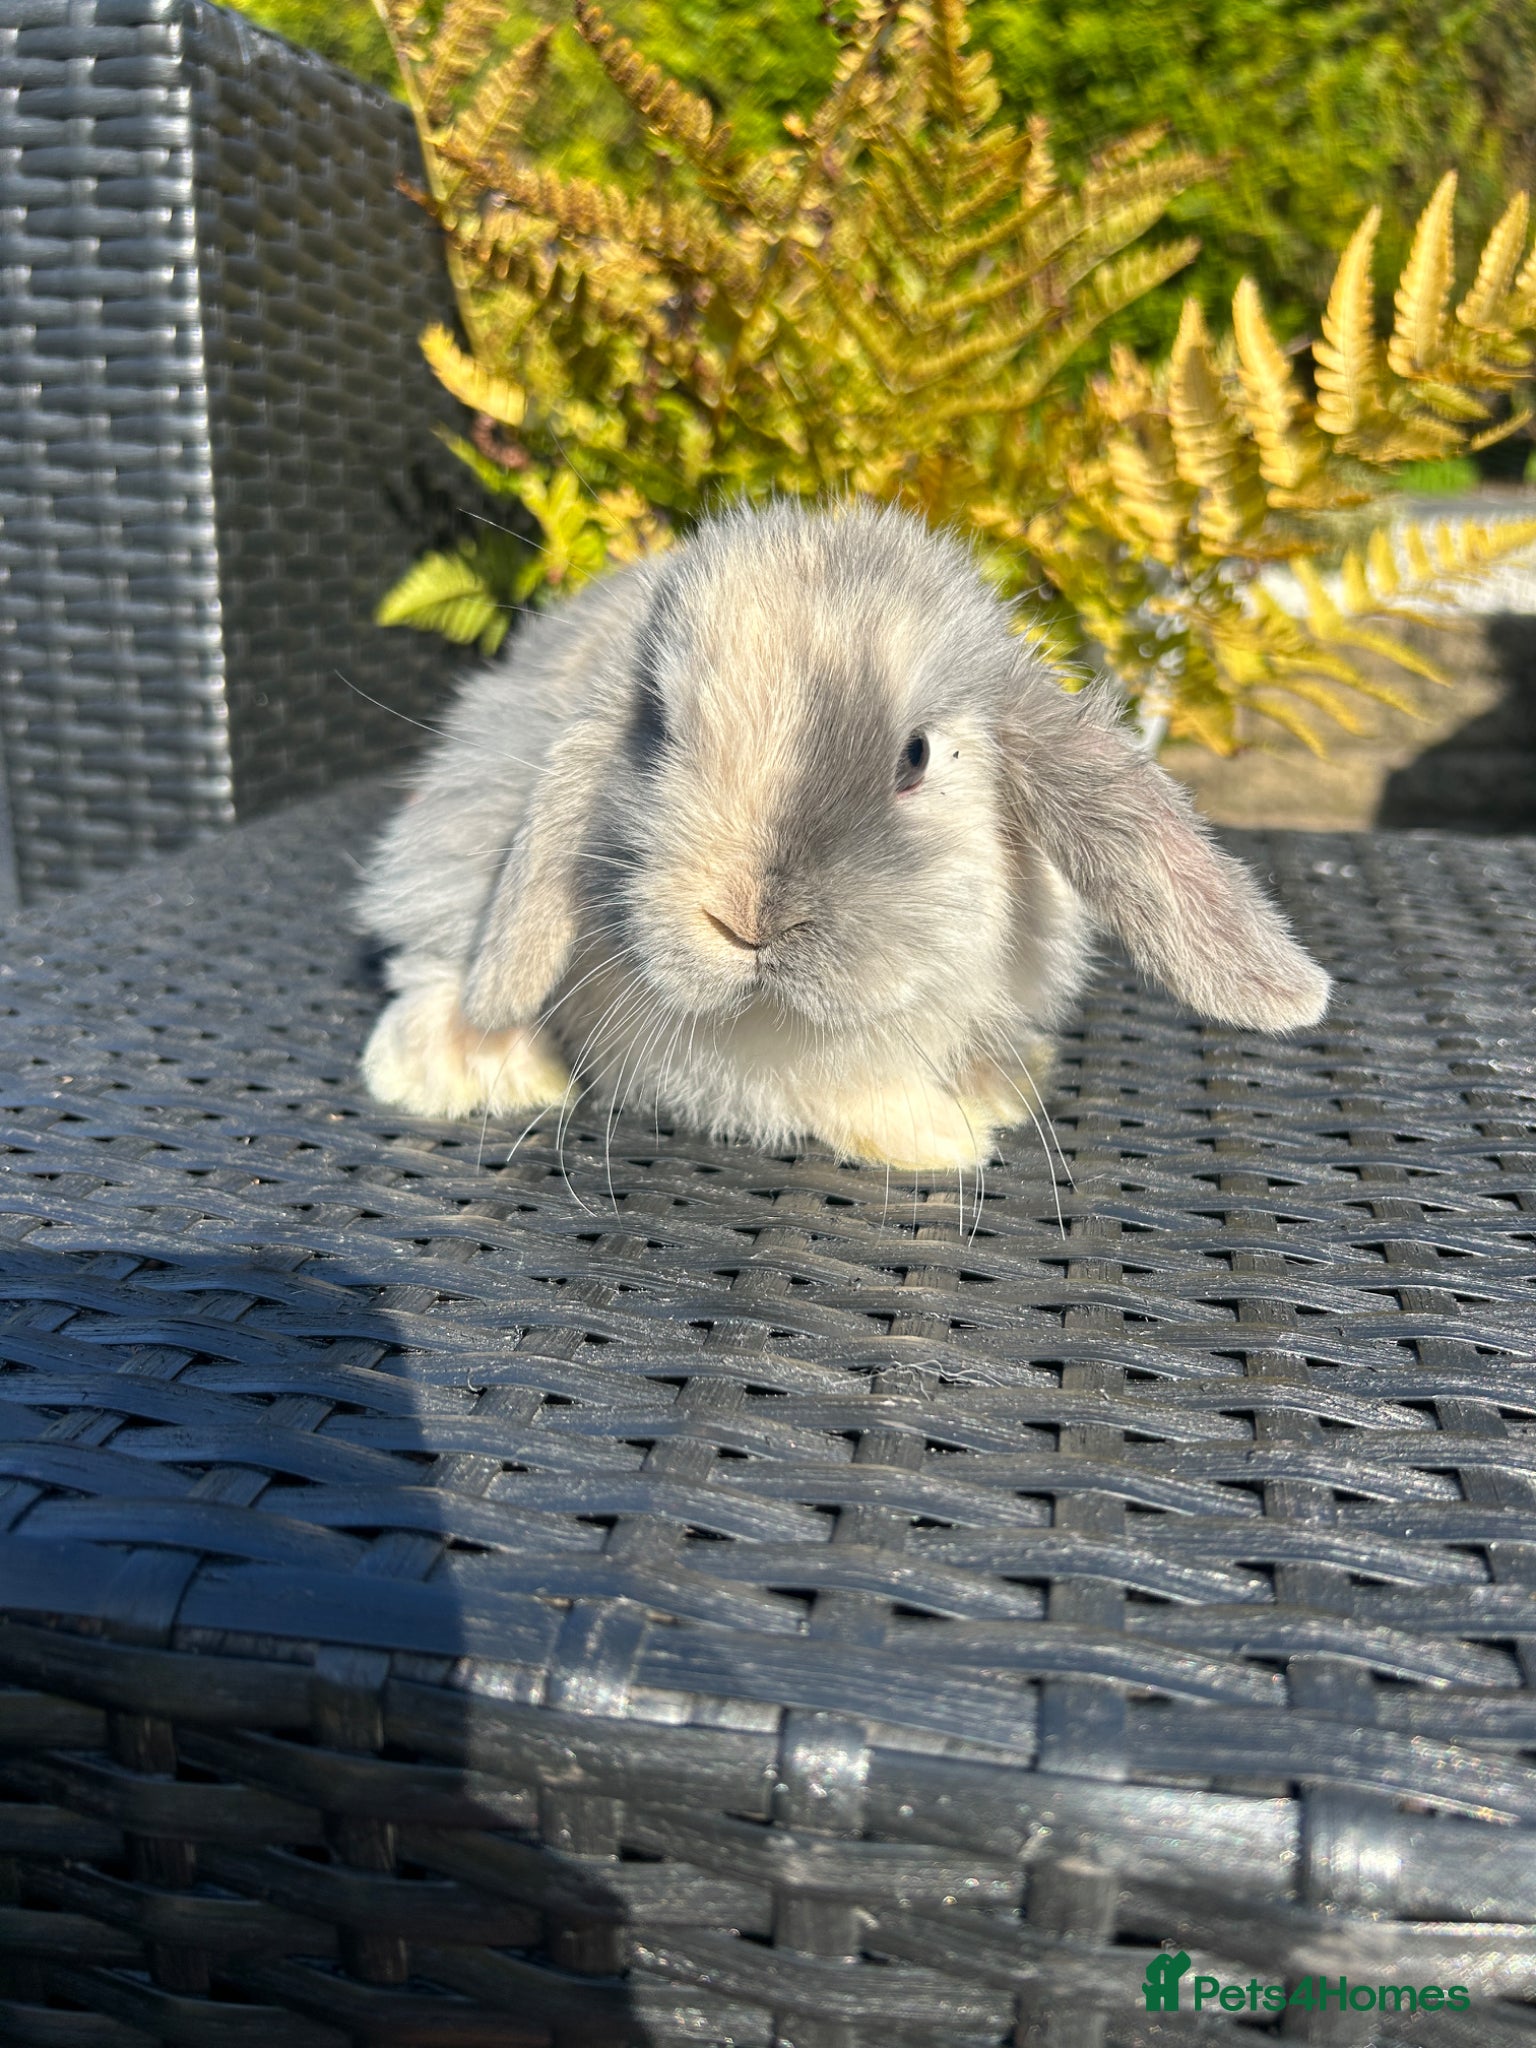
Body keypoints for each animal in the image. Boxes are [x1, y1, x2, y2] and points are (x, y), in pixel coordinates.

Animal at [356, 498, 1329, 1170]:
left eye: (917, 755)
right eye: (656, 729)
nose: (748, 922)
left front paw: (1000, 1085)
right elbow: (855, 1101)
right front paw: (944, 1136)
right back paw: (471, 1067)